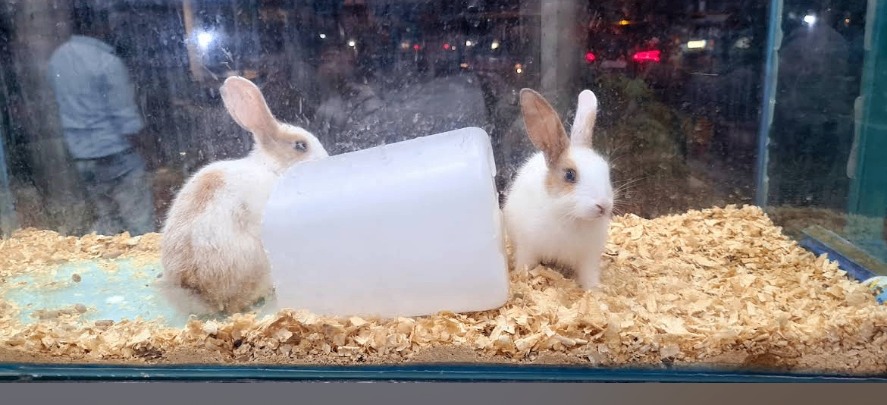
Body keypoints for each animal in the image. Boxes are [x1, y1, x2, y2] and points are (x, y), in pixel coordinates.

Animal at [502, 88, 614, 290]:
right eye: (569, 175)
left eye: (606, 170)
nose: (603, 206)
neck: (570, 216)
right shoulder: (527, 247)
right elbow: (525, 263)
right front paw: (521, 277)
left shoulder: (589, 257)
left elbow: (589, 276)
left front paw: (594, 290)